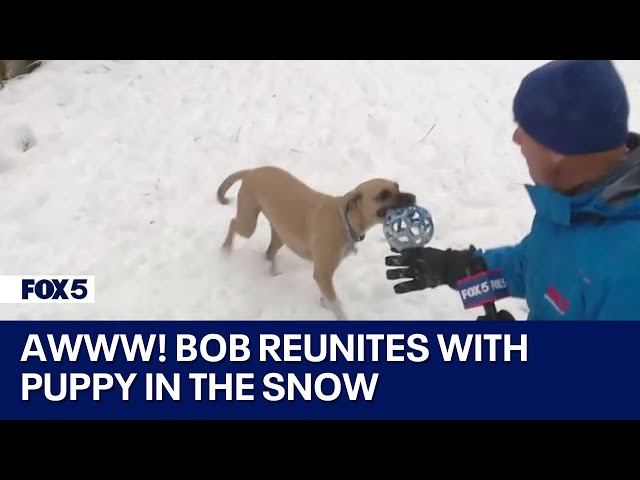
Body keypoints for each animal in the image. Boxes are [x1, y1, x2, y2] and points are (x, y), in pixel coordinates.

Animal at [216, 167, 416, 320]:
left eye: (397, 187)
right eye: (383, 195)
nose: (413, 197)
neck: (346, 220)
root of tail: (252, 171)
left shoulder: (325, 272)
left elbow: (327, 295)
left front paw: (324, 303)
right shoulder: (322, 272)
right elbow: (336, 305)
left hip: (281, 236)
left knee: (269, 252)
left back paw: (273, 273)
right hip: (248, 223)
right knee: (233, 224)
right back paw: (226, 250)